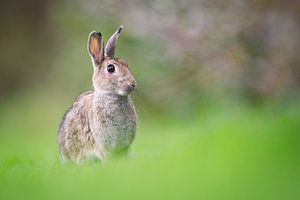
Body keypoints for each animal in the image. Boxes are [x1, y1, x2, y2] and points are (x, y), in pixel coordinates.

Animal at [57, 25, 137, 162]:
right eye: (110, 68)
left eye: (126, 64)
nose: (133, 84)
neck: (113, 96)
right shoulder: (103, 146)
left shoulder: (125, 146)